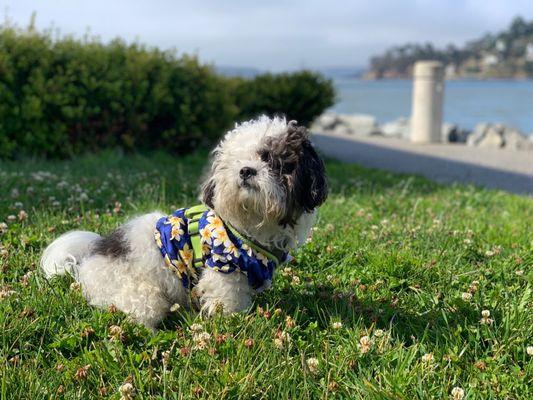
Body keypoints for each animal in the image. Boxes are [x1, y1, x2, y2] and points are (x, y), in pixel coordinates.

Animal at [40, 115, 324, 328]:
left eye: (271, 159)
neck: (252, 225)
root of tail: (89, 259)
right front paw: (234, 324)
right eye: (234, 162)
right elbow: (228, 301)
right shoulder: (223, 266)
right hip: (142, 297)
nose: (245, 170)